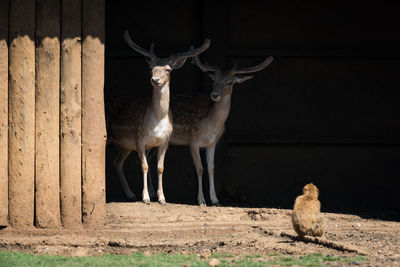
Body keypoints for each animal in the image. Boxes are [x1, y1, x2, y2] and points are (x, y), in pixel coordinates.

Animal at [108, 31, 211, 206]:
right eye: (151, 68)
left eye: (168, 69)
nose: (155, 80)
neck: (157, 119)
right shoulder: (139, 137)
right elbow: (144, 166)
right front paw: (146, 198)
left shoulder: (164, 140)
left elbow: (160, 167)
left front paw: (162, 198)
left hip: (125, 146)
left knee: (116, 162)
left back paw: (130, 194)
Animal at [167, 53, 274, 206]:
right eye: (213, 81)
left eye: (229, 82)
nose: (215, 95)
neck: (211, 126)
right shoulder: (193, 139)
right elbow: (200, 168)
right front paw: (201, 201)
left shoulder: (212, 143)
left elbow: (211, 168)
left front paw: (215, 199)